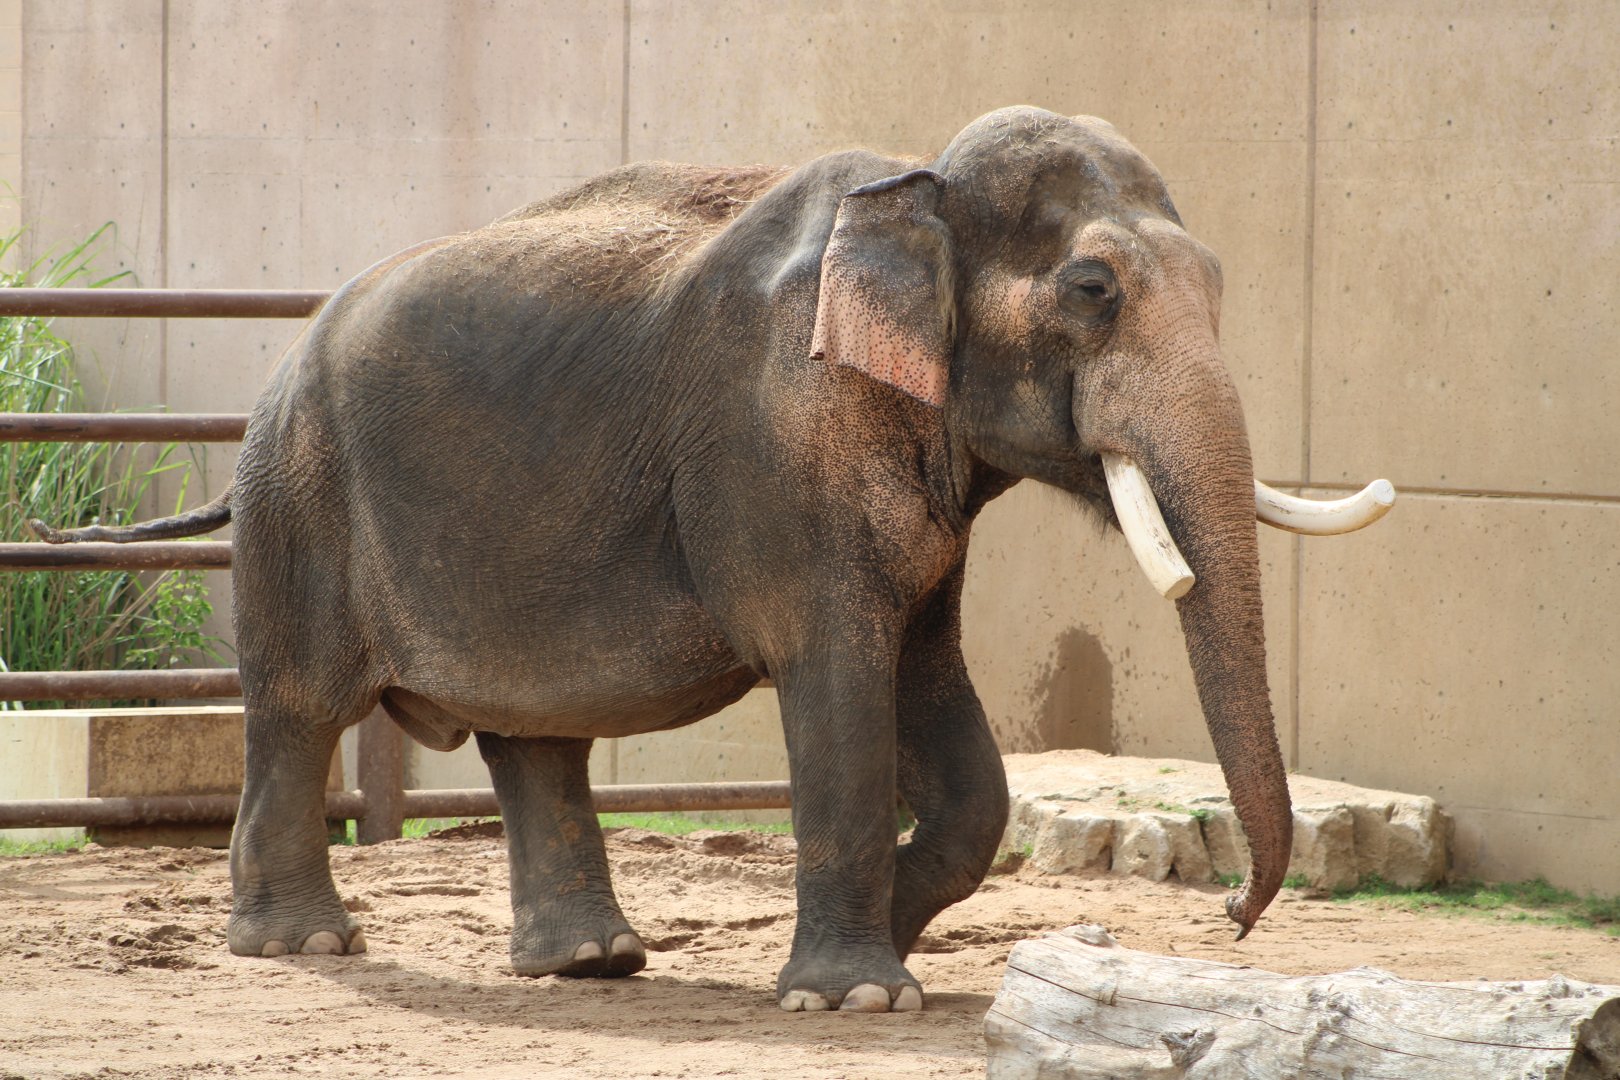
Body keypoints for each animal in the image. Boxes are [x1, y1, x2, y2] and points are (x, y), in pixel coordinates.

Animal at [35, 106, 1393, 1013]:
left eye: (1217, 282)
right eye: (1095, 289)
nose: (1230, 915)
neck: (914, 187)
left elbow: (935, 699)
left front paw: (890, 936)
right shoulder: (775, 438)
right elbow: (838, 676)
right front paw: (855, 996)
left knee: (535, 735)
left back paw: (593, 965)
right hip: (301, 492)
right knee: (302, 706)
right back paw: (304, 949)